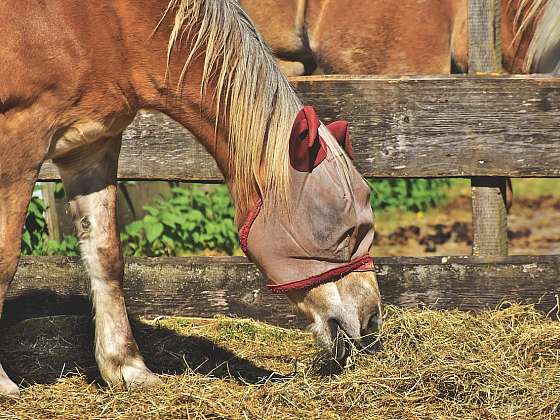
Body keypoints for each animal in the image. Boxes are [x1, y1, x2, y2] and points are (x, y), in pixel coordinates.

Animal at [0, 0, 384, 398]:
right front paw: (3, 384)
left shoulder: (90, 147)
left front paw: (127, 368)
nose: (371, 319)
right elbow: (5, 259)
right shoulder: (20, 140)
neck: (103, 24)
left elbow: (106, 258)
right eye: (342, 229)